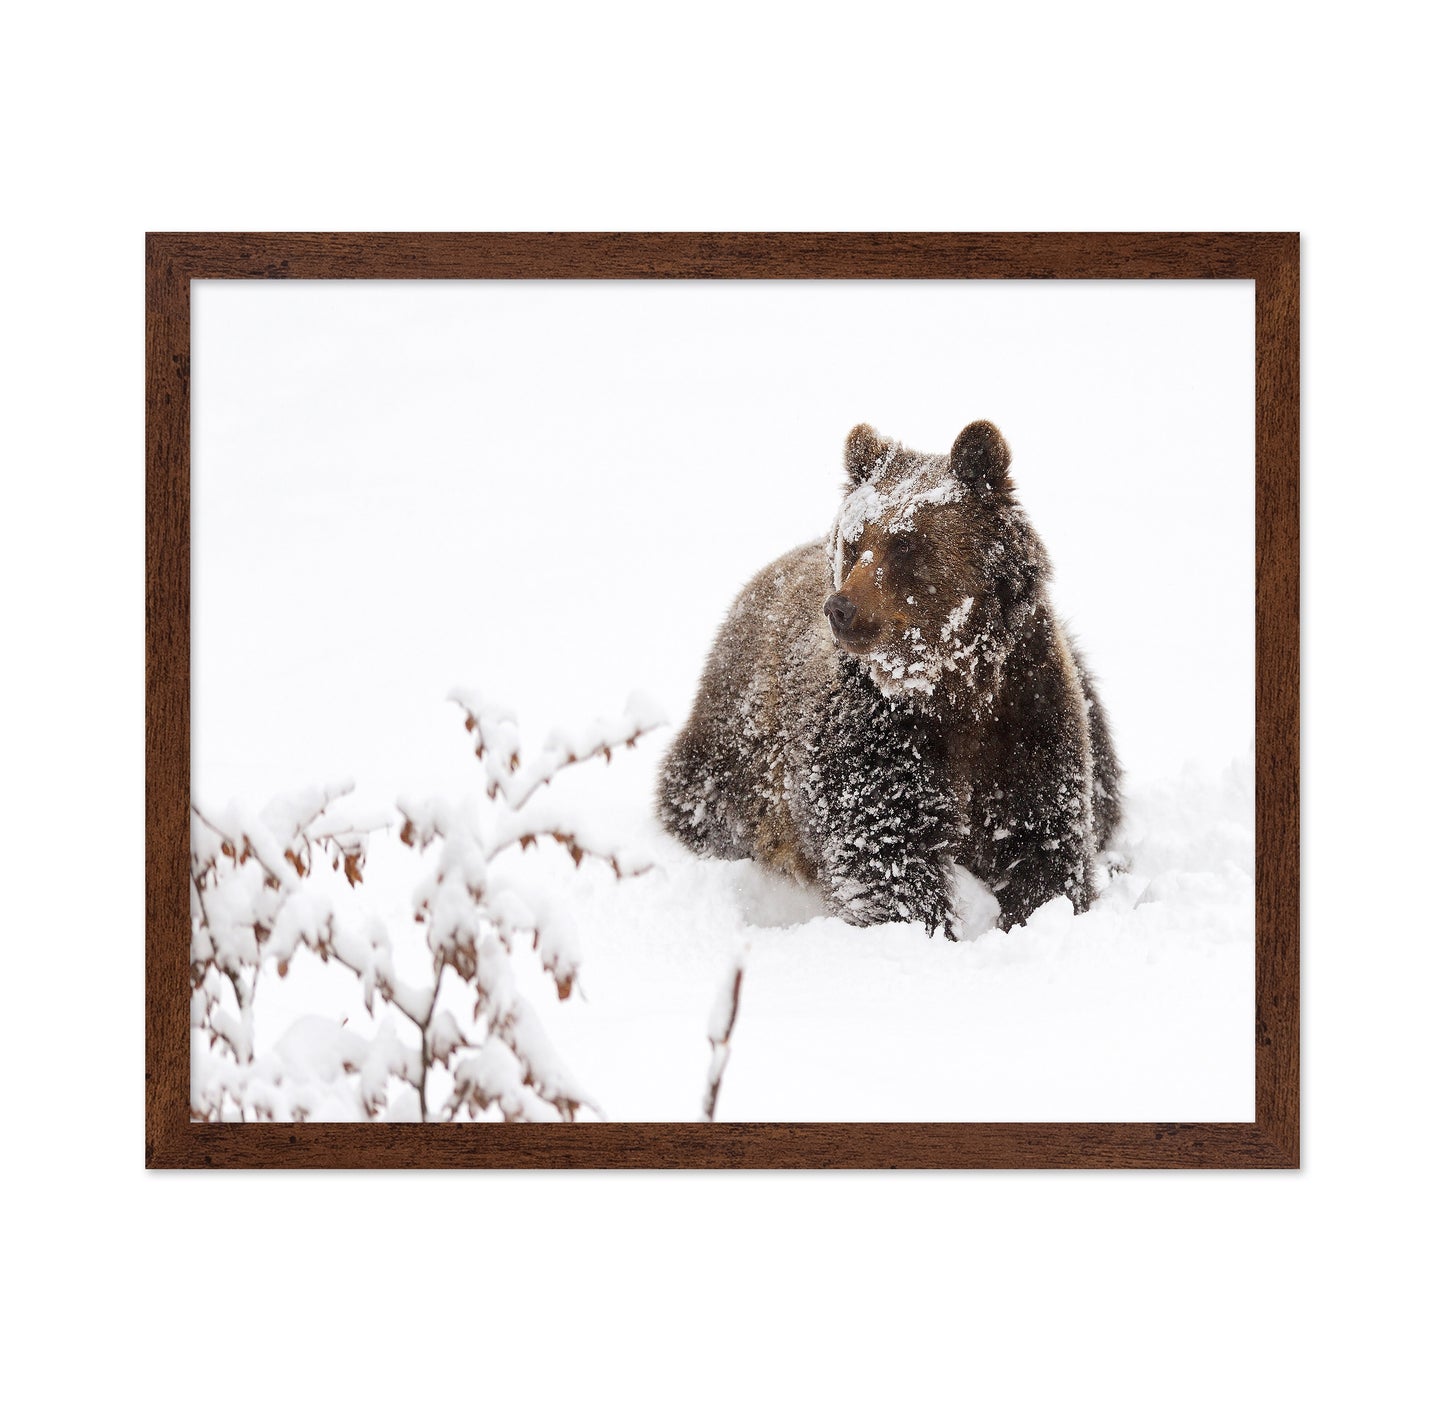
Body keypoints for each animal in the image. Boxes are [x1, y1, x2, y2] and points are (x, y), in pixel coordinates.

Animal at [655, 421, 1122, 938]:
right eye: (854, 541)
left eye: (906, 543)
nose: (841, 608)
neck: (951, 685)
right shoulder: (876, 737)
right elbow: (885, 854)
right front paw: (926, 928)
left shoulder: (1026, 714)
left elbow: (1043, 840)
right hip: (734, 756)